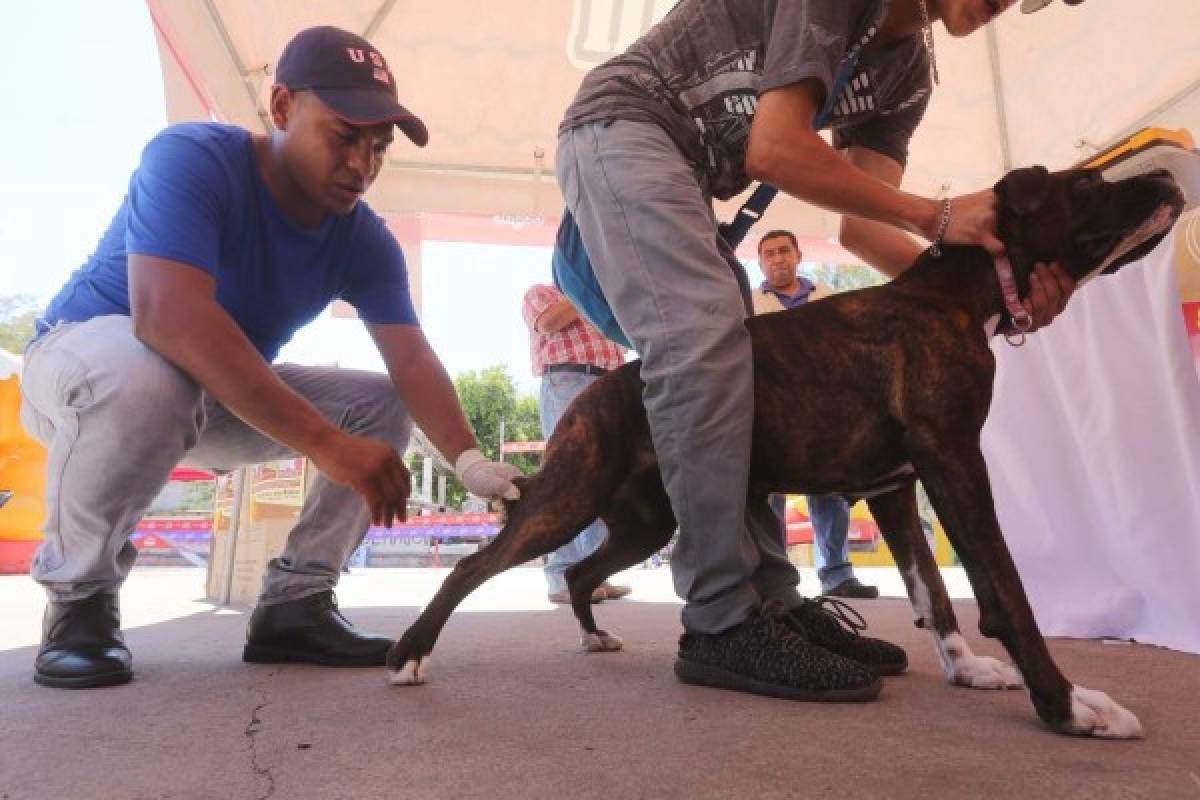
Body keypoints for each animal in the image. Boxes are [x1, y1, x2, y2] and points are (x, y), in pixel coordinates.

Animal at [386, 165, 1180, 743]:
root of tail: (602, 386)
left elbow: (931, 591)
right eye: (1087, 184)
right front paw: (1070, 706)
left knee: (582, 571)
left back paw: (594, 636)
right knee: (474, 566)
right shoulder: (955, 461)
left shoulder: (897, 489)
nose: (1170, 174)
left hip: (646, 523)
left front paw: (966, 671)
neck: (958, 293)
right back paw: (411, 654)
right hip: (569, 496)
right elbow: (1006, 593)